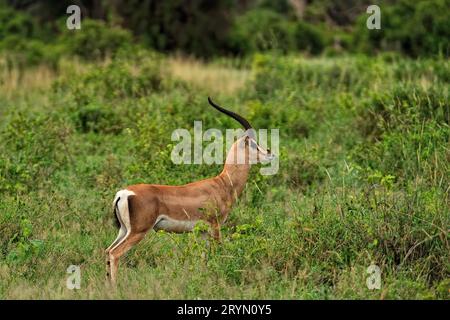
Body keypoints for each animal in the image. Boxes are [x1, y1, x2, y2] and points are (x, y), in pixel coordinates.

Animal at [105, 97, 274, 282]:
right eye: (254, 145)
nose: (270, 153)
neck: (223, 184)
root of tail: (123, 194)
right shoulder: (215, 226)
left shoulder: (202, 232)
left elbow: (203, 258)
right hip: (138, 231)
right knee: (114, 253)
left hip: (123, 230)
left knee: (107, 251)